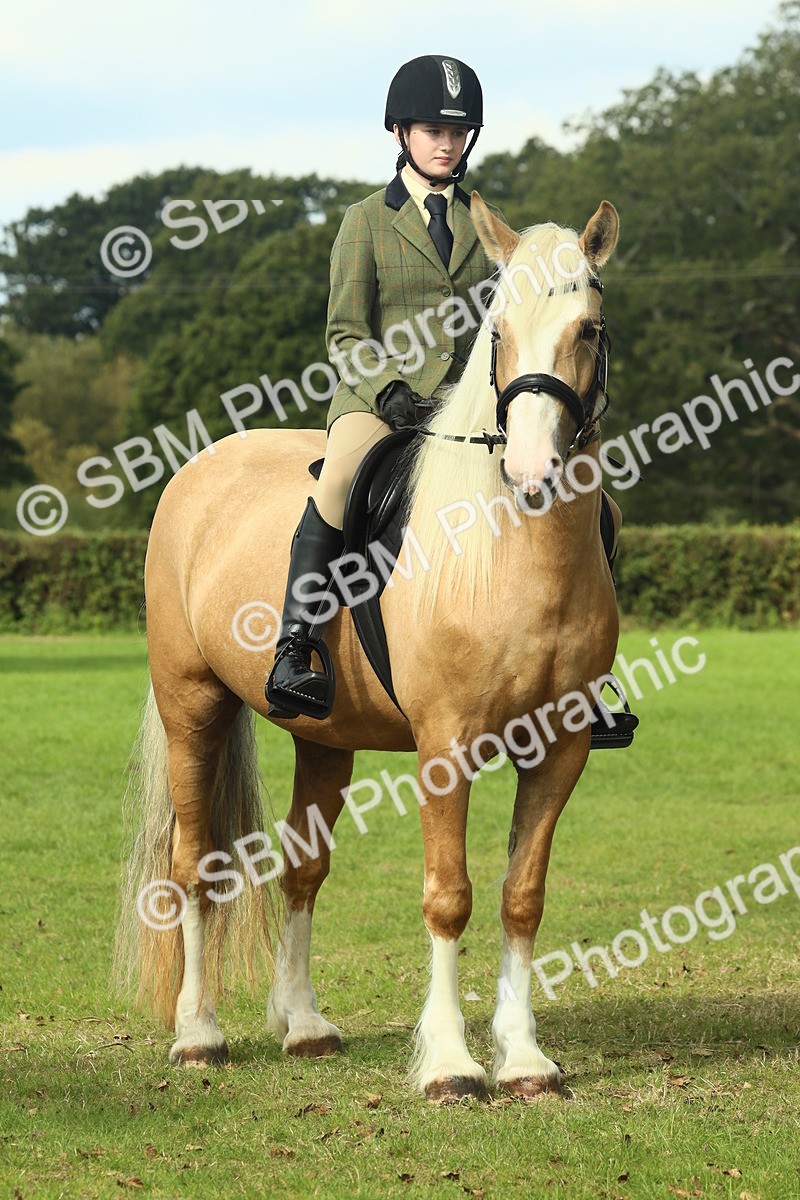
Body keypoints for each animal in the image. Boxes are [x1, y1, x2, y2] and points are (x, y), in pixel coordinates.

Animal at [115, 196, 621, 1102]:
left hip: (324, 735)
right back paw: (198, 1033)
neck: (512, 549)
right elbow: (449, 896)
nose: (532, 472)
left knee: (301, 868)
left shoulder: (559, 746)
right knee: (193, 864)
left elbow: (522, 896)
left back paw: (305, 1026)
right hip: (191, 707)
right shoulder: (445, 747)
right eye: (499, 333)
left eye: (588, 330)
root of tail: (201, 467)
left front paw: (525, 1060)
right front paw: (452, 1065)